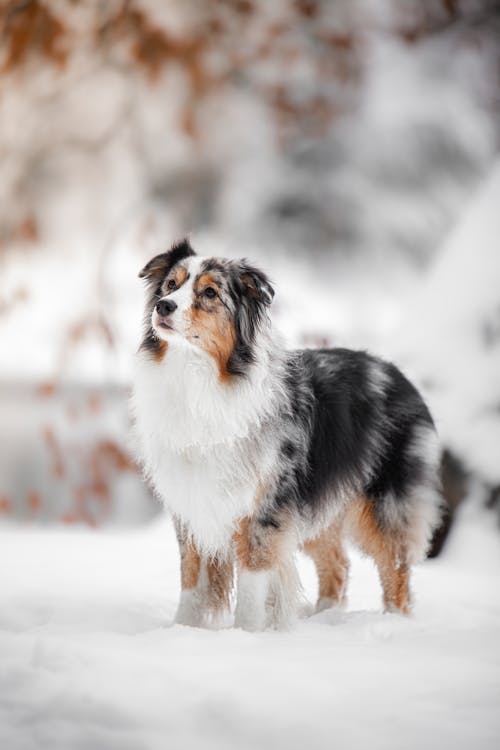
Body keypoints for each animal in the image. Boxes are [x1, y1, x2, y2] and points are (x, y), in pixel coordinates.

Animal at [133, 239, 442, 628]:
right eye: (170, 285)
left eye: (209, 292)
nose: (164, 306)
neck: (200, 378)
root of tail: (402, 378)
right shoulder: (193, 502)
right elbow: (190, 578)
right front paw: (183, 630)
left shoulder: (263, 509)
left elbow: (252, 584)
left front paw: (246, 632)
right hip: (318, 504)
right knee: (338, 564)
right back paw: (322, 619)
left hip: (385, 503)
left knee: (396, 568)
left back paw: (392, 622)